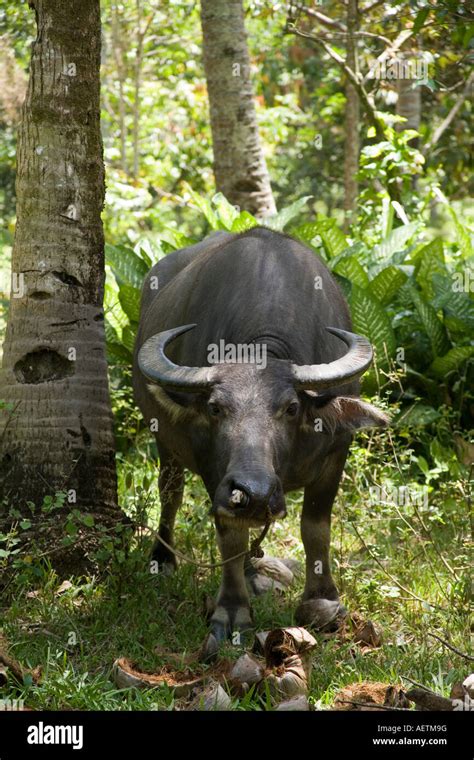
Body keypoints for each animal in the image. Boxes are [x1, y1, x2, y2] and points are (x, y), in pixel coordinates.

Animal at [131, 227, 386, 648]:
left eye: (291, 408)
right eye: (215, 408)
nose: (254, 493)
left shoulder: (336, 452)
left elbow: (316, 526)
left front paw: (323, 600)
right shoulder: (214, 470)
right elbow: (230, 536)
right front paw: (232, 611)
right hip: (165, 444)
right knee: (170, 494)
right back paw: (162, 559)